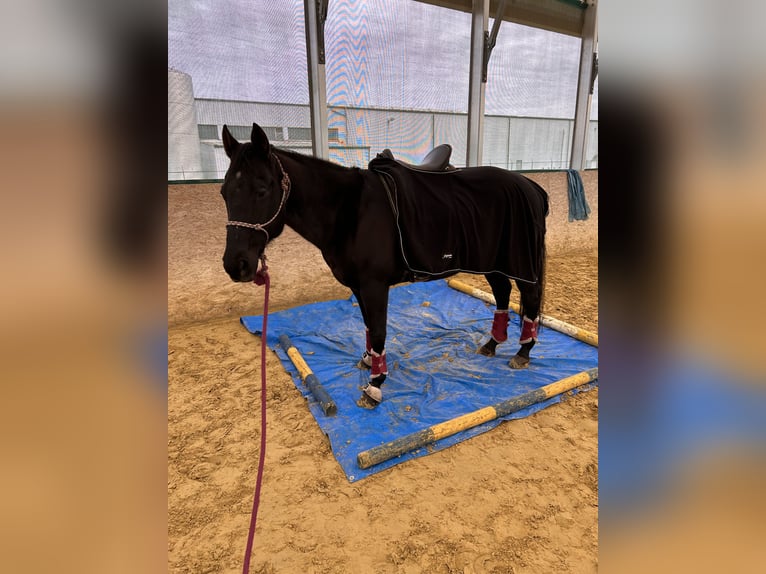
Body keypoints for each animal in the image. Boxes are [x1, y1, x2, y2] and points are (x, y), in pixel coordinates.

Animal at [221, 123, 549, 408]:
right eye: (224, 192)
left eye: (262, 190)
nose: (236, 265)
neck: (348, 210)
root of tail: (529, 185)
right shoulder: (358, 285)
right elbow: (367, 325)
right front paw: (368, 361)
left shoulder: (374, 285)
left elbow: (378, 330)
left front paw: (375, 386)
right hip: (493, 263)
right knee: (502, 292)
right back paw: (492, 344)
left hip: (519, 262)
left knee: (529, 298)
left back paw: (523, 351)